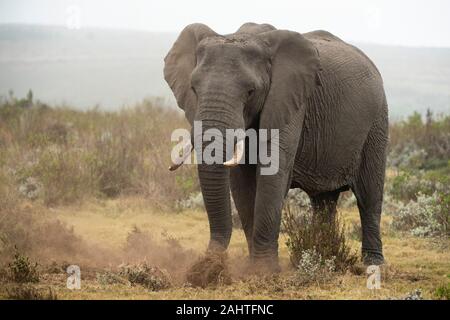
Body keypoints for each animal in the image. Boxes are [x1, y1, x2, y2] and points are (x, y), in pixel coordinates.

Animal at [163, 22, 388, 272]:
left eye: (251, 91)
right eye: (193, 88)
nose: (208, 262)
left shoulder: (290, 100)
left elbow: (272, 172)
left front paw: (265, 270)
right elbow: (241, 183)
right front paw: (252, 267)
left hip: (377, 124)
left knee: (368, 197)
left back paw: (372, 264)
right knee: (323, 201)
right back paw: (322, 256)